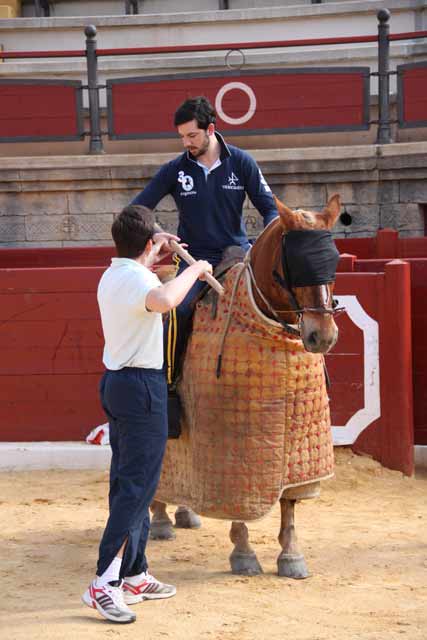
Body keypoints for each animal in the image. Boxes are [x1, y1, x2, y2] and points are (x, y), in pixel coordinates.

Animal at [150, 192, 342, 576]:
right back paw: (160, 519)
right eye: (294, 264)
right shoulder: (236, 453)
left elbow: (289, 502)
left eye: (334, 261)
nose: (323, 336)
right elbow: (239, 506)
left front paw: (292, 556)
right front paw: (243, 553)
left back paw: (186, 513)